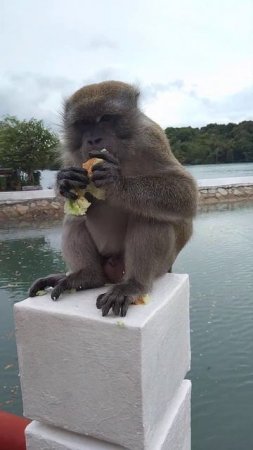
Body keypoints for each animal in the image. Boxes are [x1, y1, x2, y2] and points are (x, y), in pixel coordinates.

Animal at [28, 81, 199, 316]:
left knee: (150, 216)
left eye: (106, 119)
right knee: (75, 218)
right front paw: (64, 181)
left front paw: (116, 181)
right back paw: (87, 276)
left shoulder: (151, 138)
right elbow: (72, 197)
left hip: (159, 266)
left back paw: (133, 285)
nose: (93, 139)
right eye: (83, 124)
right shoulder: (73, 153)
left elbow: (186, 193)